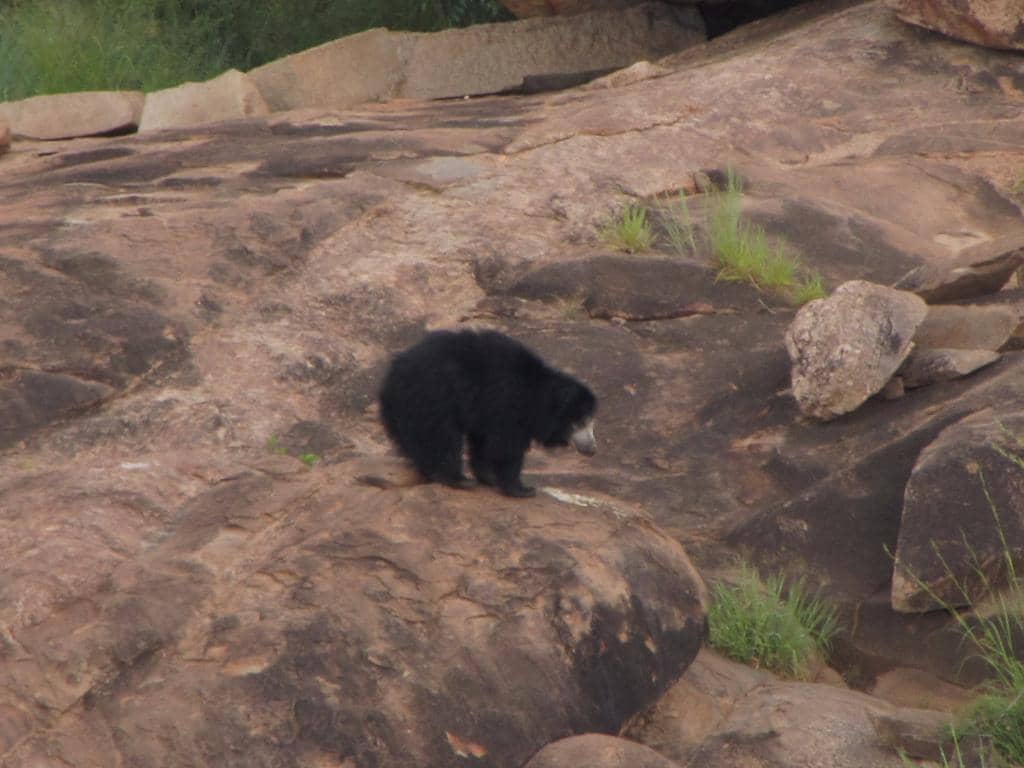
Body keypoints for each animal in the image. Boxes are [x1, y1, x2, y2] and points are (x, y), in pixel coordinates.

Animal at [378, 329, 597, 498]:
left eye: (591, 421)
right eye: (580, 422)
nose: (592, 449)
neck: (537, 396)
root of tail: (390, 378)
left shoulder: (487, 412)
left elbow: (483, 443)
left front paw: (489, 478)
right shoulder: (507, 403)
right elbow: (505, 446)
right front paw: (522, 489)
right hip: (431, 397)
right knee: (442, 437)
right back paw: (457, 479)